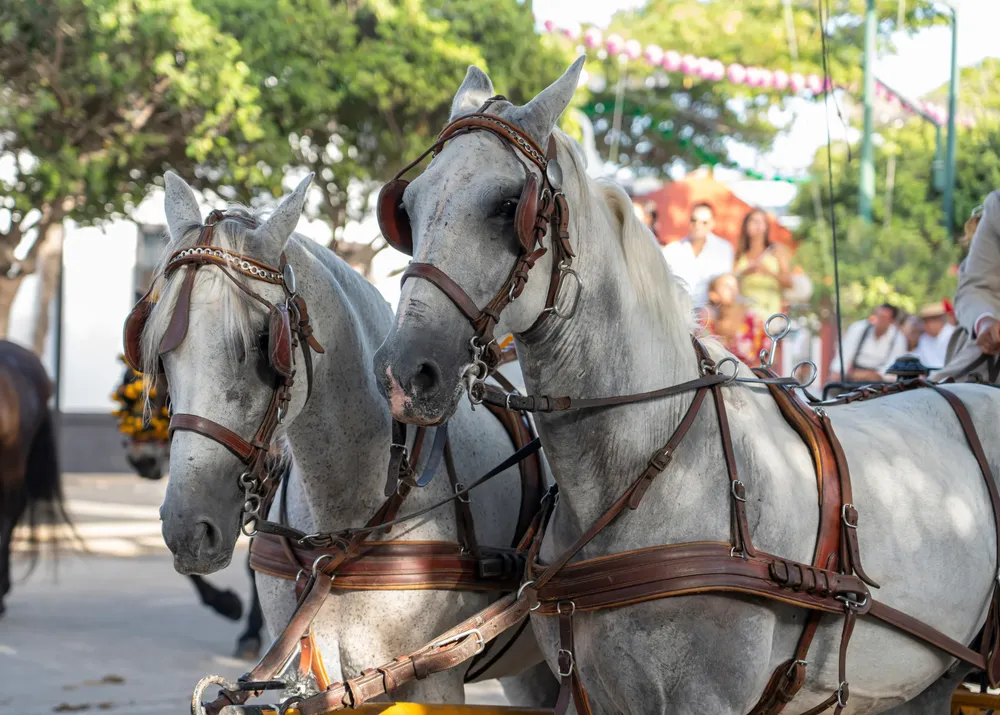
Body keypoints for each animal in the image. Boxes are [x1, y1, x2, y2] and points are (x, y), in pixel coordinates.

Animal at [128, 171, 557, 707]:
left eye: (262, 345)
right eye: (162, 357)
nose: (188, 528)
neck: (343, 531)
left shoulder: (434, 676)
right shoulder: (315, 678)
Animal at [373, 58, 1000, 714]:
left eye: (507, 205)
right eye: (407, 208)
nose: (403, 371)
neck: (649, 470)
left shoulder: (707, 699)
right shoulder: (588, 689)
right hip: (925, 680)